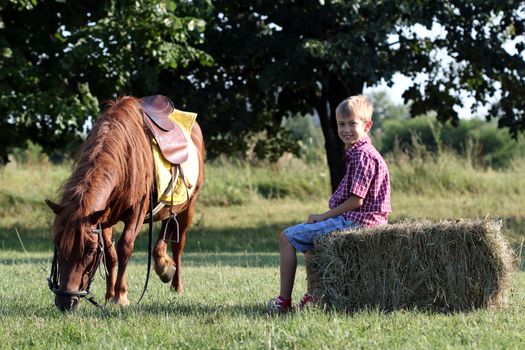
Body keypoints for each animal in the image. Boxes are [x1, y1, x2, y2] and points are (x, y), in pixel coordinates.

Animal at [46, 96, 205, 312]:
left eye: (89, 250)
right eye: (57, 244)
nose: (65, 302)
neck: (125, 159)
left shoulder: (137, 211)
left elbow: (125, 247)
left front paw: (121, 296)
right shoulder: (102, 218)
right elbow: (110, 254)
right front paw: (109, 295)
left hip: (188, 207)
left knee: (178, 244)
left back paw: (175, 282)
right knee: (165, 230)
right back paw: (163, 265)